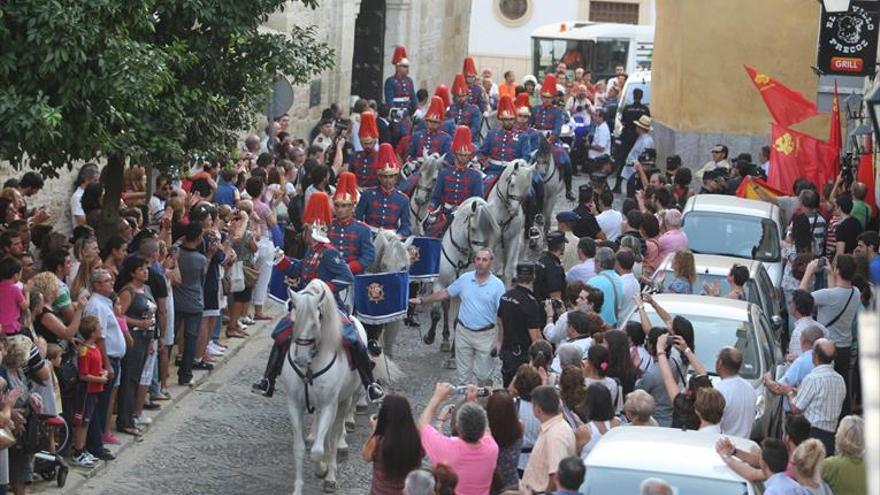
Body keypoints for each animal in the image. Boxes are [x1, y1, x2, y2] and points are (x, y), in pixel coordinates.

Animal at [426, 198, 502, 352]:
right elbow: (436, 313)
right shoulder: (439, 282)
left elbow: (458, 320)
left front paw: (455, 351)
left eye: (491, 230)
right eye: (473, 228)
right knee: (444, 307)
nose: (483, 256)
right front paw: (429, 337)